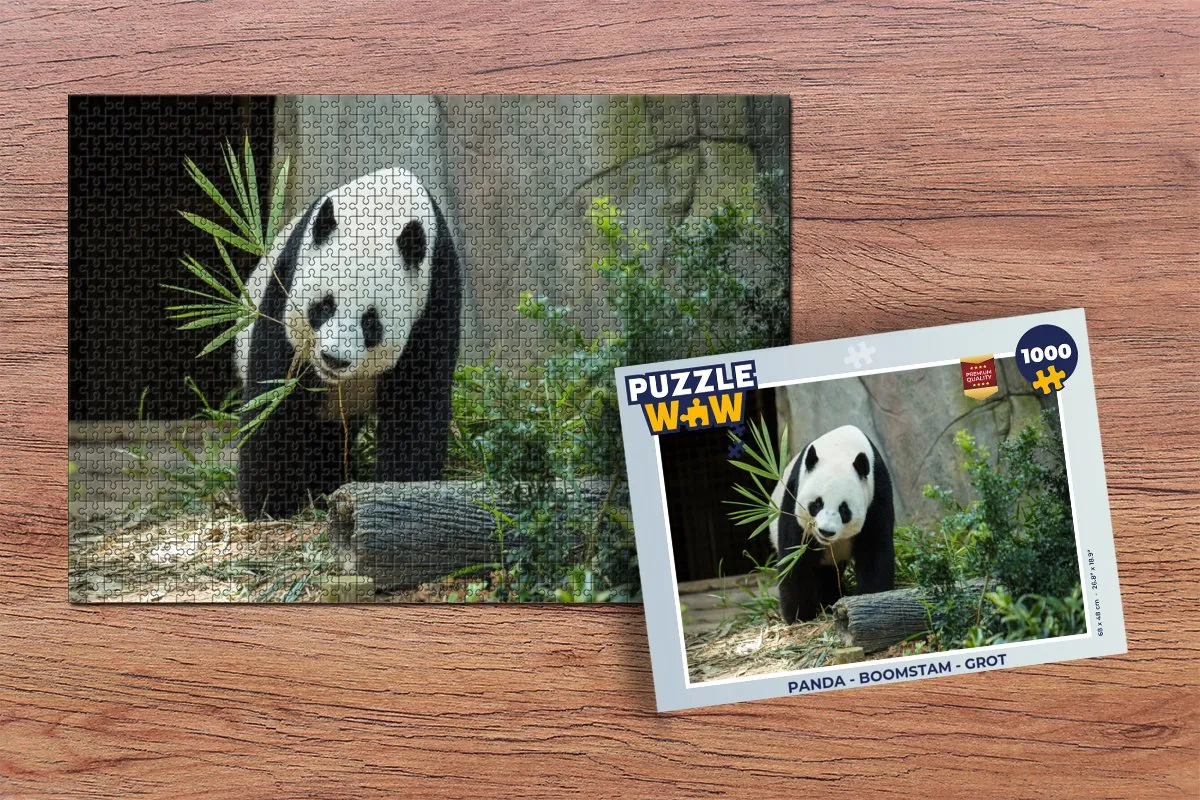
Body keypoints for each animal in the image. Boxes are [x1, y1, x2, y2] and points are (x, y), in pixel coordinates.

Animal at [234, 166, 461, 520]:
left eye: (371, 322)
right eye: (325, 306)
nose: (334, 359)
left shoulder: (435, 296)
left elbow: (416, 403)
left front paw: (400, 495)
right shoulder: (287, 279)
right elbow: (273, 395)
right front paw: (269, 505)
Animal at [768, 424, 895, 623]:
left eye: (844, 509)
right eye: (817, 504)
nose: (825, 531)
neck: (840, 448)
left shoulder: (876, 494)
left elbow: (874, 550)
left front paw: (870, 599)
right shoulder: (794, 494)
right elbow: (796, 557)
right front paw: (800, 615)